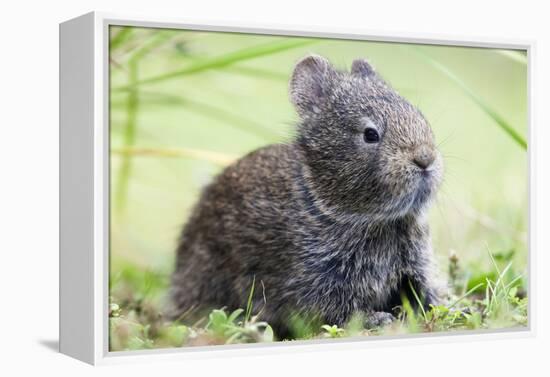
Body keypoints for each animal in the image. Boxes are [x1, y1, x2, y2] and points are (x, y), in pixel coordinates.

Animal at [168, 53, 444, 338]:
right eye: (370, 134)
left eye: (418, 115)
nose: (425, 158)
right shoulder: (317, 278)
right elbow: (337, 312)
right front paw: (377, 319)